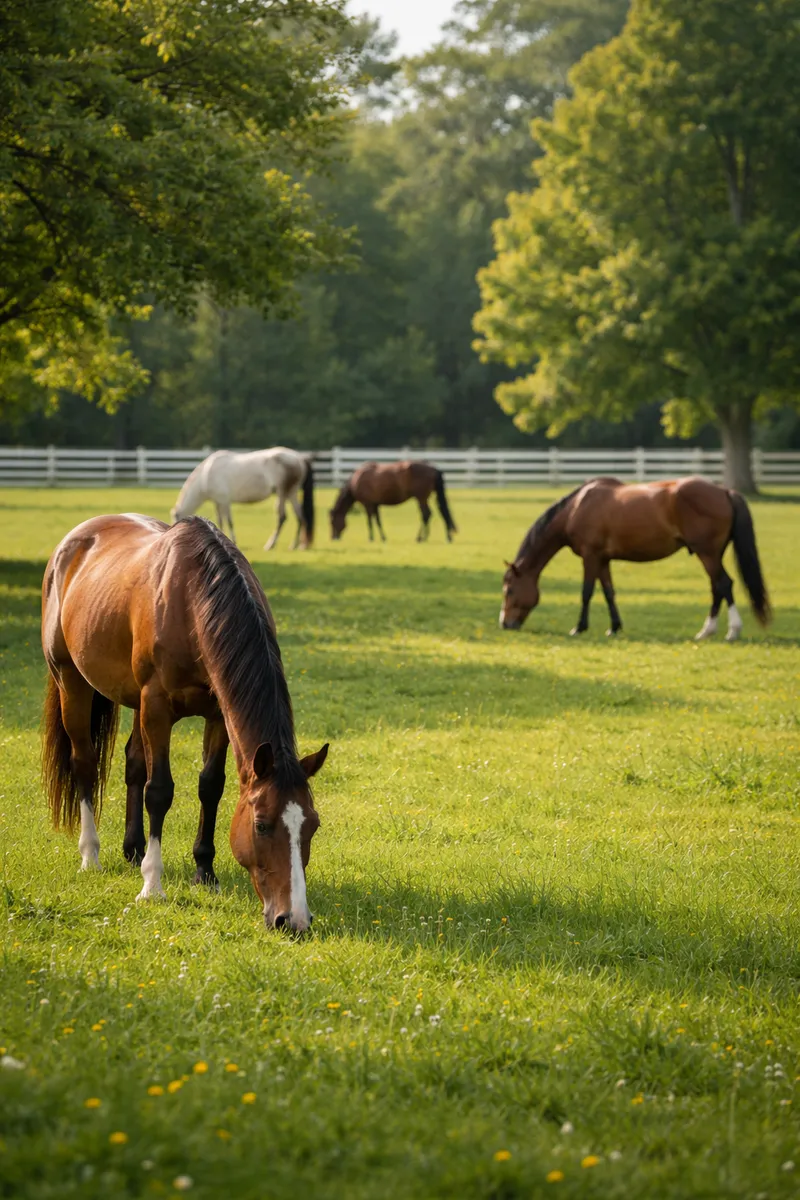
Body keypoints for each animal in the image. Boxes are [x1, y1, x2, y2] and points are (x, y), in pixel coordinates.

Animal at [41, 514, 328, 931]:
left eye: (313, 825)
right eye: (261, 825)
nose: (293, 920)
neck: (191, 601)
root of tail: (73, 541)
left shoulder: (217, 714)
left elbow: (210, 786)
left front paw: (205, 873)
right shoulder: (157, 708)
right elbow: (159, 790)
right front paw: (152, 885)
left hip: (132, 700)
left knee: (133, 763)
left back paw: (133, 849)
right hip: (72, 682)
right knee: (84, 764)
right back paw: (91, 855)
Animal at [171, 447, 315, 550]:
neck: (206, 475)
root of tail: (299, 458)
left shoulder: (224, 501)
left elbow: (229, 521)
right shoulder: (218, 502)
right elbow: (220, 521)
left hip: (282, 493)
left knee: (282, 517)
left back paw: (270, 545)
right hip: (292, 494)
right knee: (300, 516)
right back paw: (297, 545)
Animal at [500, 476, 770, 641]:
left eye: (509, 590)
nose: (505, 624)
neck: (577, 507)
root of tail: (724, 491)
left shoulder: (590, 556)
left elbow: (587, 592)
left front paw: (579, 627)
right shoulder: (603, 559)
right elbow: (609, 592)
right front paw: (614, 627)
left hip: (707, 553)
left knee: (724, 584)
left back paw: (732, 631)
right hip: (712, 555)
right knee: (717, 587)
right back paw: (706, 632)